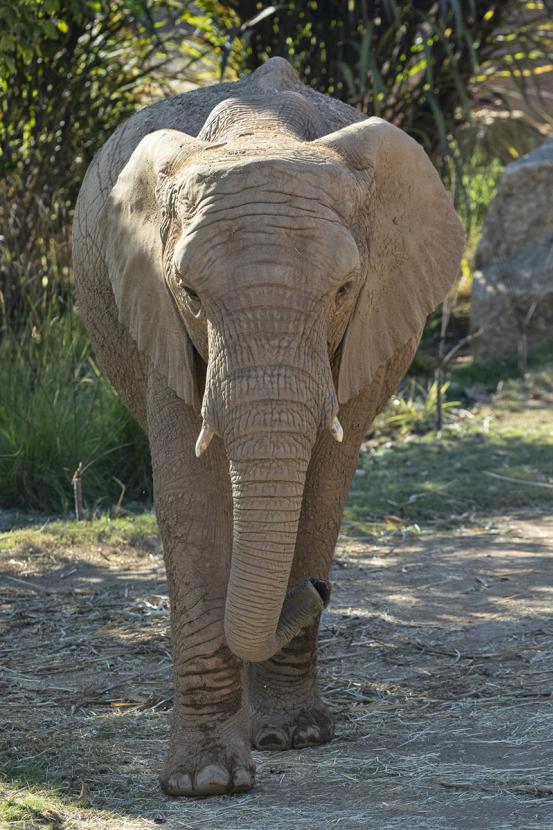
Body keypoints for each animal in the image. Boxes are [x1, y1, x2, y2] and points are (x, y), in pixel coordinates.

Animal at [72, 57, 464, 797]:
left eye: (344, 291)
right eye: (191, 294)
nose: (317, 589)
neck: (260, 134)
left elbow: (322, 482)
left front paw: (292, 738)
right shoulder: (159, 321)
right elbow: (191, 495)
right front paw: (205, 783)